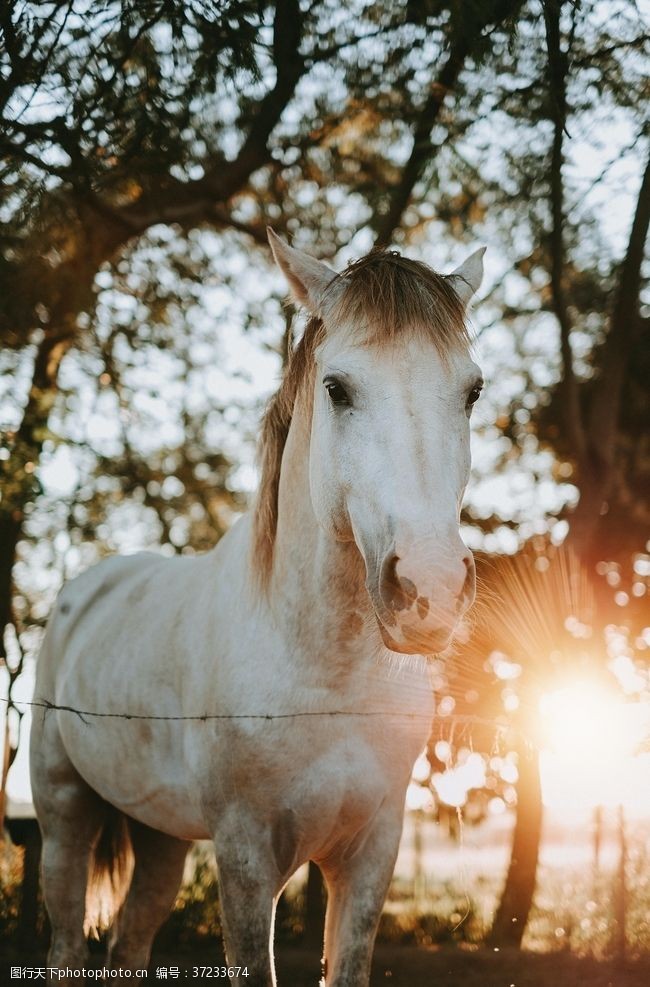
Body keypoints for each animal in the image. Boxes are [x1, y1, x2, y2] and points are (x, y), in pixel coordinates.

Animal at [31, 233, 480, 987]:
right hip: (66, 817)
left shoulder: (373, 852)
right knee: (66, 943)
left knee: (128, 944)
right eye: (337, 389)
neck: (326, 676)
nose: (431, 590)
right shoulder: (245, 858)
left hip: (160, 838)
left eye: (472, 391)